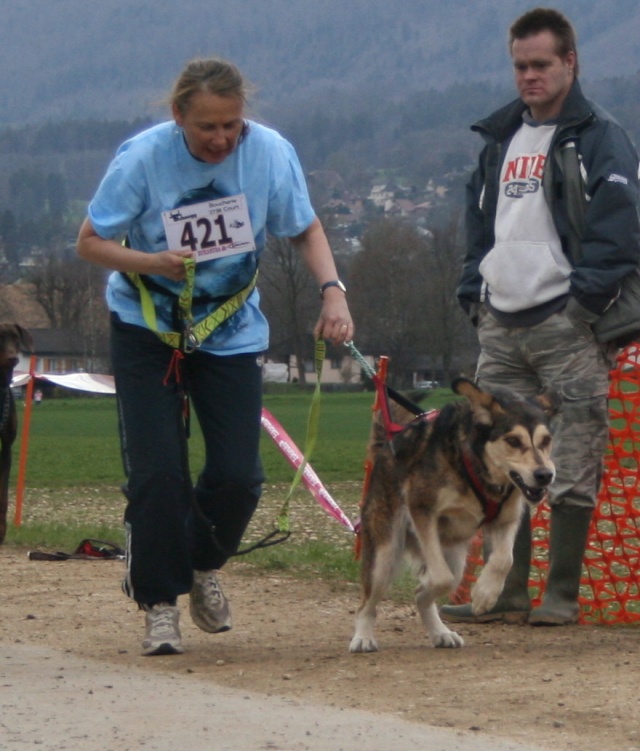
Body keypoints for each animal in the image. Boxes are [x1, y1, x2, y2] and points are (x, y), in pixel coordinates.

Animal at [348, 378, 556, 656]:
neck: (477, 466)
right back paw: (363, 637)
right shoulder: (422, 509)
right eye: (513, 440)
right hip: (385, 552)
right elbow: (441, 577)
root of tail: (387, 446)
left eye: (546, 440)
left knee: (422, 595)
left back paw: (441, 633)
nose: (545, 475)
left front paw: (485, 594)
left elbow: (504, 560)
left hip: (456, 560)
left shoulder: (507, 518)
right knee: (367, 604)